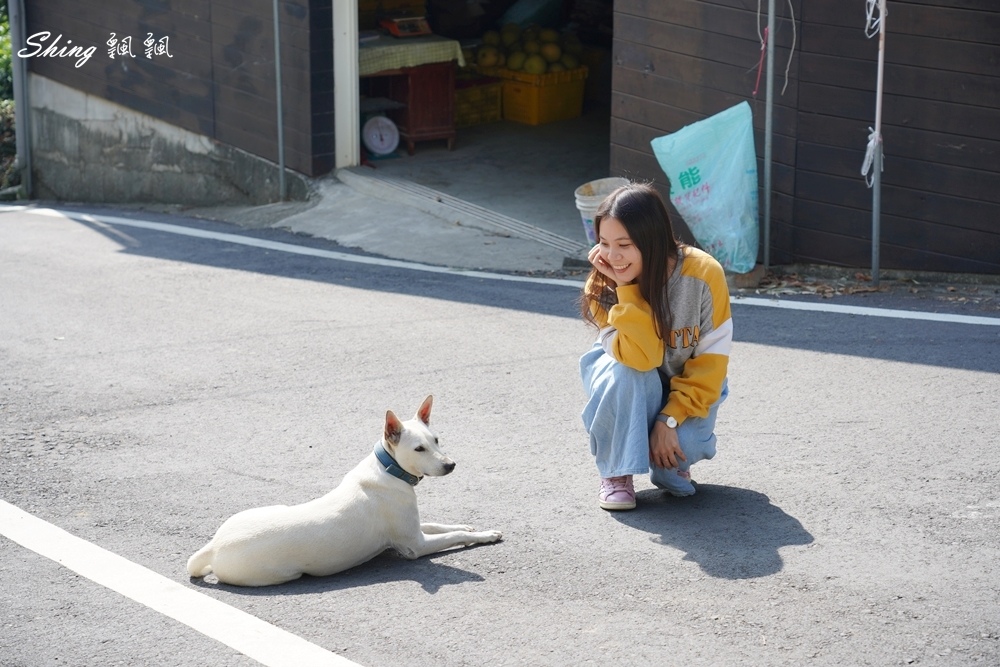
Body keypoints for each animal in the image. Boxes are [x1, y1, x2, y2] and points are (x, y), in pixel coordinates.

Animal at [185, 396, 504, 588]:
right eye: (419, 449)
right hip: (278, 573)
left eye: (436, 440)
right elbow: (453, 536)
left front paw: (468, 525)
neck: (388, 468)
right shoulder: (416, 544)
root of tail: (213, 547)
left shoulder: (413, 525)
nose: (451, 465)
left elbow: (440, 523)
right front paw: (485, 535)